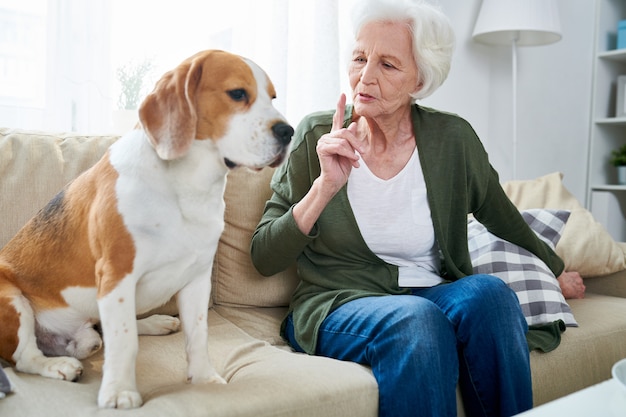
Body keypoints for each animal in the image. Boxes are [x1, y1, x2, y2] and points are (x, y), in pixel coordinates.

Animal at [0, 48, 292, 406]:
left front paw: (204, 378)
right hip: (10, 296)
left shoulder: (197, 278)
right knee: (25, 357)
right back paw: (56, 365)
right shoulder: (117, 275)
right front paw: (119, 392)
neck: (188, 186)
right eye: (237, 94)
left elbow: (198, 334)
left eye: (273, 97)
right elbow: (124, 341)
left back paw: (152, 323)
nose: (288, 132)